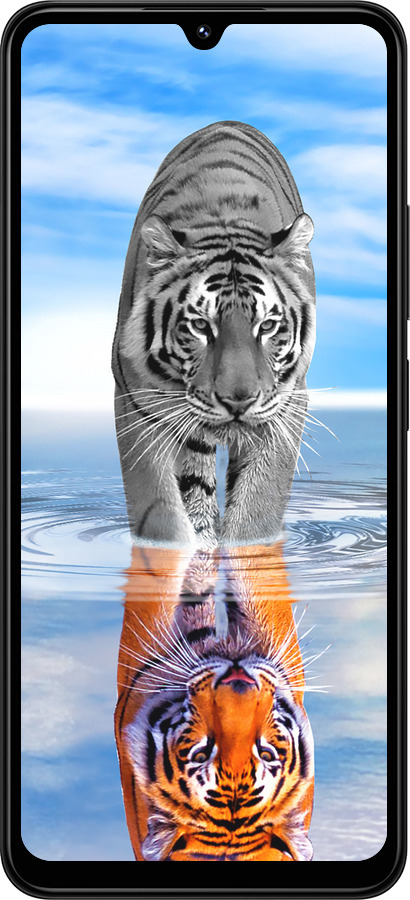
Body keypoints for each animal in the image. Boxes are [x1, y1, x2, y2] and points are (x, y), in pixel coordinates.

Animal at [112, 121, 316, 549]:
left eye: (267, 326)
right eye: (201, 326)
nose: (238, 401)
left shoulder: (287, 404)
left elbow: (257, 510)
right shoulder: (136, 401)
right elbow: (160, 512)